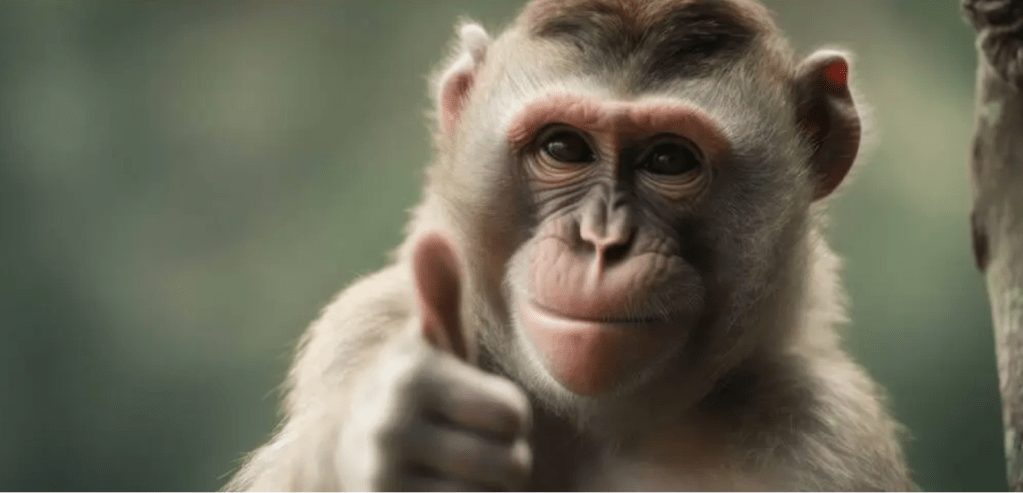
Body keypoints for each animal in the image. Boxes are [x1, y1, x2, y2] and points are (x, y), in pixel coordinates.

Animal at [224, 0, 914, 491]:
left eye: (669, 159)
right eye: (563, 147)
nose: (601, 242)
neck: (602, 428)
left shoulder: (828, 435)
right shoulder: (368, 328)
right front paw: (404, 446)